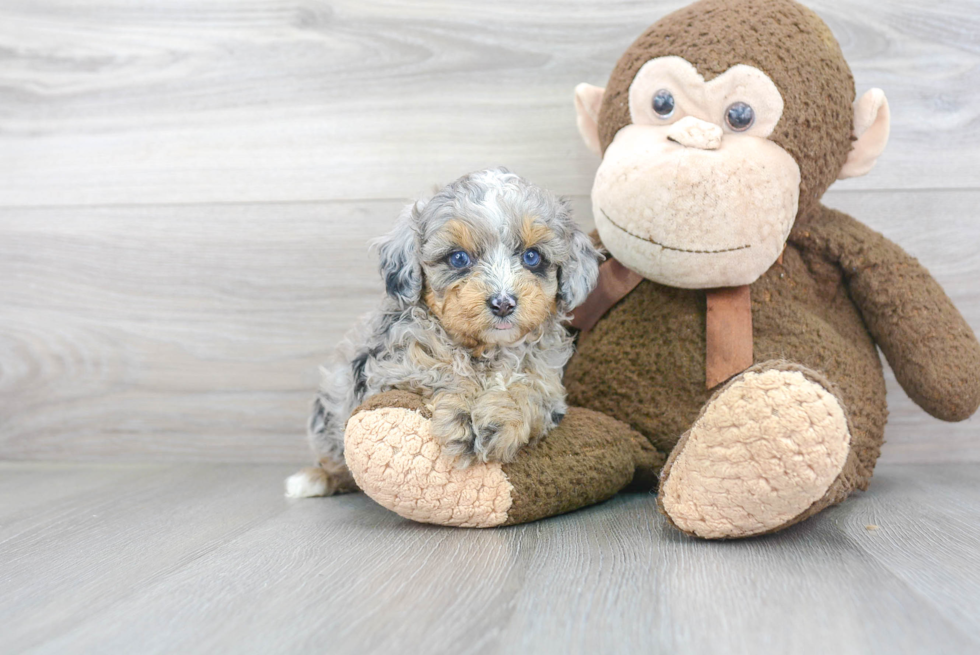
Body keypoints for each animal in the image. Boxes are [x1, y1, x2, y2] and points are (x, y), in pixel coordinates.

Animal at [288, 168, 600, 498]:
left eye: (532, 257)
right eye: (458, 258)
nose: (503, 303)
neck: (485, 349)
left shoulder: (550, 388)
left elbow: (528, 390)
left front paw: (498, 418)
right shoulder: (385, 371)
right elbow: (439, 372)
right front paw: (461, 414)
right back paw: (312, 479)